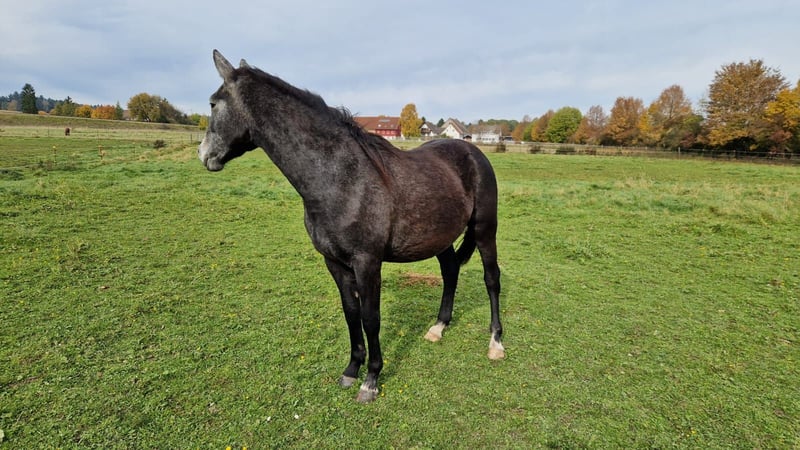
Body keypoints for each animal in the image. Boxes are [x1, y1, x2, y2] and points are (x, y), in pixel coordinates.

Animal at [198, 50, 504, 402]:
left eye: (212, 104)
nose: (204, 154)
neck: (342, 179)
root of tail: (472, 150)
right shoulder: (335, 262)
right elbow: (351, 314)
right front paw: (351, 370)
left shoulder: (367, 262)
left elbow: (371, 318)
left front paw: (370, 380)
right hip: (439, 237)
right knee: (451, 271)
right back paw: (438, 328)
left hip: (485, 229)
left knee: (491, 279)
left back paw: (496, 343)